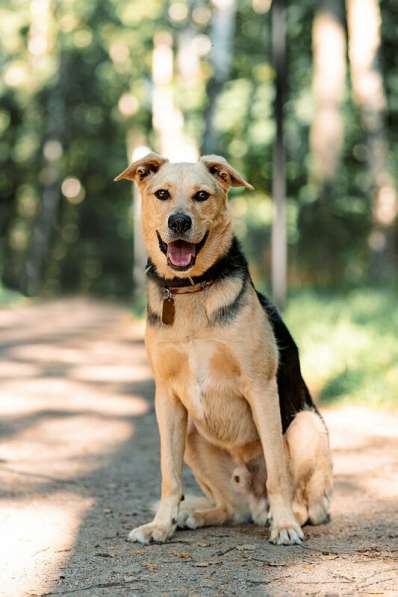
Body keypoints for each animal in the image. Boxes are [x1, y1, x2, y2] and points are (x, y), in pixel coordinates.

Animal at [115, 154, 332, 544]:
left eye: (202, 195)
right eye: (162, 194)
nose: (179, 221)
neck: (191, 290)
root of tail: (253, 503)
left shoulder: (260, 387)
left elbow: (278, 471)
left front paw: (284, 526)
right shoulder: (166, 396)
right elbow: (169, 476)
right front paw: (161, 525)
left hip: (305, 424)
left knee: (309, 505)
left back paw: (286, 516)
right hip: (193, 435)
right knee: (230, 508)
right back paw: (195, 516)